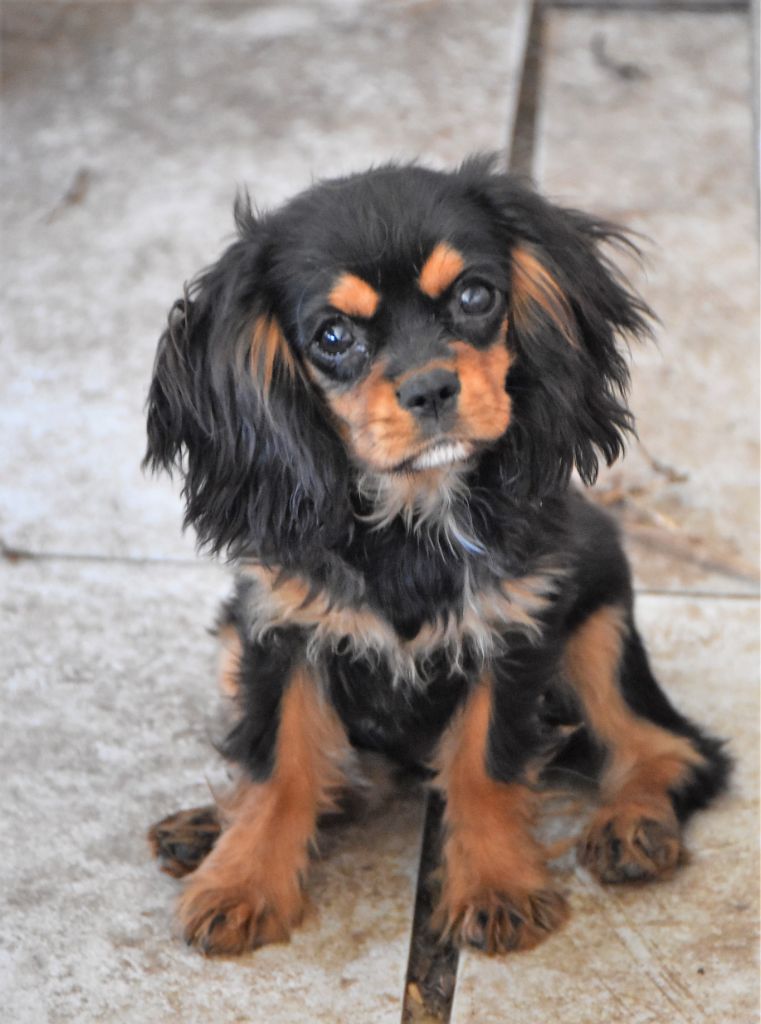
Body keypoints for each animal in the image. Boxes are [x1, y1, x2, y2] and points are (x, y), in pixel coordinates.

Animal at [144, 156, 729, 956]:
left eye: (475, 296)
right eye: (332, 336)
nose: (430, 388)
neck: (410, 516)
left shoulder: (515, 629)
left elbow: (486, 762)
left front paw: (496, 887)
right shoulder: (277, 628)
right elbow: (278, 763)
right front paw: (241, 881)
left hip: (599, 630)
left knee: (671, 747)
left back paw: (633, 825)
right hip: (231, 641)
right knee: (338, 775)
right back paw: (207, 829)